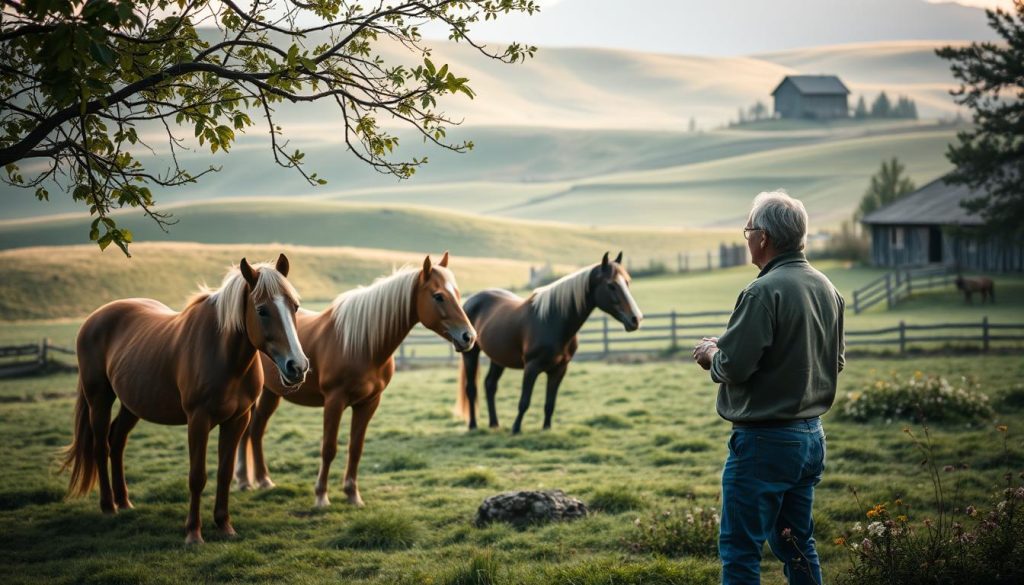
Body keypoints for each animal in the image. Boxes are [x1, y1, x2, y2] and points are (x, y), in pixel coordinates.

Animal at [60, 256, 305, 545]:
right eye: (262, 310)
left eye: (295, 306)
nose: (297, 366)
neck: (223, 355)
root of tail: (93, 318)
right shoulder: (198, 420)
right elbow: (197, 477)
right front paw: (193, 533)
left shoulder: (237, 420)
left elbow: (224, 473)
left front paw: (224, 525)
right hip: (99, 398)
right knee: (101, 446)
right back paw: (108, 506)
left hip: (132, 405)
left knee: (116, 442)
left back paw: (124, 502)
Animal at [235, 253, 475, 508]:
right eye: (438, 296)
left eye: (457, 293)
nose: (468, 337)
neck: (362, 345)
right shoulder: (334, 401)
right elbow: (328, 448)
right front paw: (321, 496)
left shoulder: (368, 403)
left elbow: (356, 448)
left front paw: (352, 494)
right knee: (249, 432)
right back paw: (245, 481)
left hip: (271, 393)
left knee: (255, 431)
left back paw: (261, 480)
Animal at [460, 252, 643, 434]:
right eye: (611, 285)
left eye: (627, 282)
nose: (636, 319)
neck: (552, 320)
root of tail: (470, 300)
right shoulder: (531, 368)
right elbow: (524, 402)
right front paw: (516, 429)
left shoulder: (559, 369)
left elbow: (550, 404)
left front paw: (546, 429)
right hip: (471, 354)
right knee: (471, 389)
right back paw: (473, 425)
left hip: (498, 358)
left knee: (490, 385)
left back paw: (494, 424)